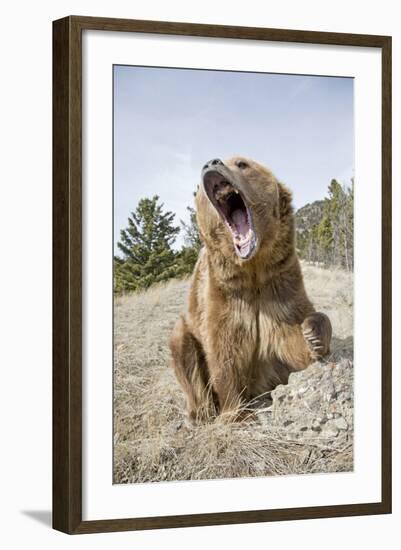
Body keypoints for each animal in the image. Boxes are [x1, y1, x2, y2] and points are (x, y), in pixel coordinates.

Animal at [169, 157, 332, 424]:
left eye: (242, 163)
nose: (211, 163)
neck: (252, 268)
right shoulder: (224, 295)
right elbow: (223, 352)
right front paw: (236, 413)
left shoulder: (280, 287)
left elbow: (294, 342)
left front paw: (314, 333)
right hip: (187, 331)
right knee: (182, 348)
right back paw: (200, 413)